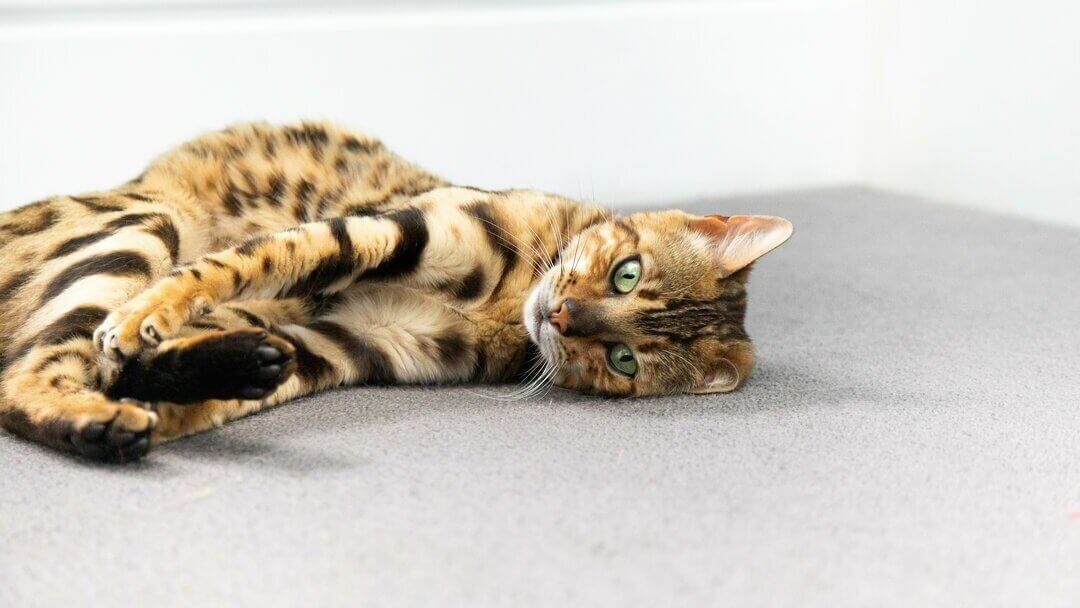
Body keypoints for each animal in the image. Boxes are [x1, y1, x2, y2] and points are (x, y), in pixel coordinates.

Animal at [0, 120, 794, 462]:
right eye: (626, 272)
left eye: (623, 359)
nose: (564, 315)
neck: (509, 304)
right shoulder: (389, 230)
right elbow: (231, 267)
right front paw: (148, 316)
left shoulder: (347, 343)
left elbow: (184, 394)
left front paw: (169, 387)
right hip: (143, 221)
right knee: (25, 377)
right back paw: (102, 413)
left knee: (26, 386)